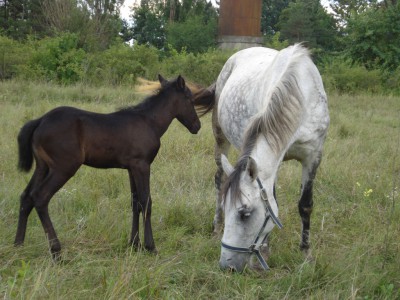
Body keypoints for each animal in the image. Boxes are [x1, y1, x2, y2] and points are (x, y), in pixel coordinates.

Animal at [14, 74, 200, 258]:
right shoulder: (142, 165)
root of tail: (40, 121)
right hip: (63, 168)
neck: (149, 122)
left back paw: (18, 245)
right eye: (189, 98)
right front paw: (150, 246)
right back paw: (56, 251)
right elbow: (146, 201)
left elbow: (135, 203)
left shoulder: (132, 168)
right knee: (40, 197)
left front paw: (134, 244)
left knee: (26, 196)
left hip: (43, 167)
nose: (197, 126)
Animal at [194, 44, 328, 272]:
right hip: (220, 138)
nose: (227, 265)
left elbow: (305, 204)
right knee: (219, 180)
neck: (303, 96)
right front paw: (265, 250)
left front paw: (306, 253)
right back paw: (216, 227)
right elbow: (273, 202)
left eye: (244, 213)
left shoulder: (313, 156)